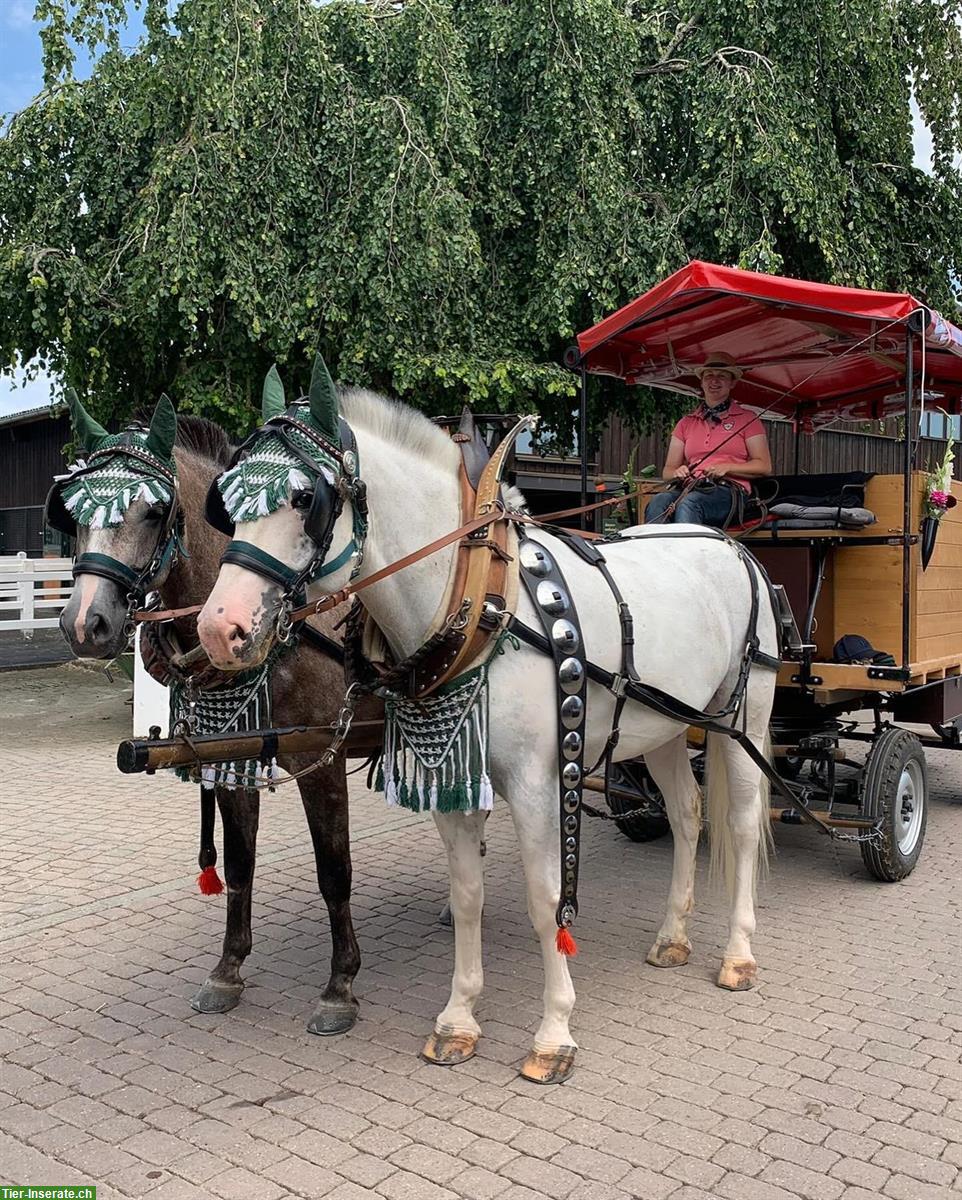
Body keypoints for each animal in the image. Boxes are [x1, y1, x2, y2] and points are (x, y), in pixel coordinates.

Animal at [57, 400, 364, 1032]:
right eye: (72, 513)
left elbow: (334, 871)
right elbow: (240, 865)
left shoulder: (321, 756)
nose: (83, 623)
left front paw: (340, 984)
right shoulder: (232, 755)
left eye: (154, 511)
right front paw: (228, 969)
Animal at [199, 369, 777, 1084]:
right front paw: (458, 1019)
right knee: (687, 814)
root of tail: (728, 545)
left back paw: (738, 954)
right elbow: (468, 893)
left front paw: (553, 1032)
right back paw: (672, 936)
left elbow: (544, 898)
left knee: (741, 822)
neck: (480, 599)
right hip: (665, 727)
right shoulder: (454, 780)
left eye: (307, 497)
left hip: (740, 714)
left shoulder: (537, 782)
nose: (218, 629)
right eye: (225, 499)